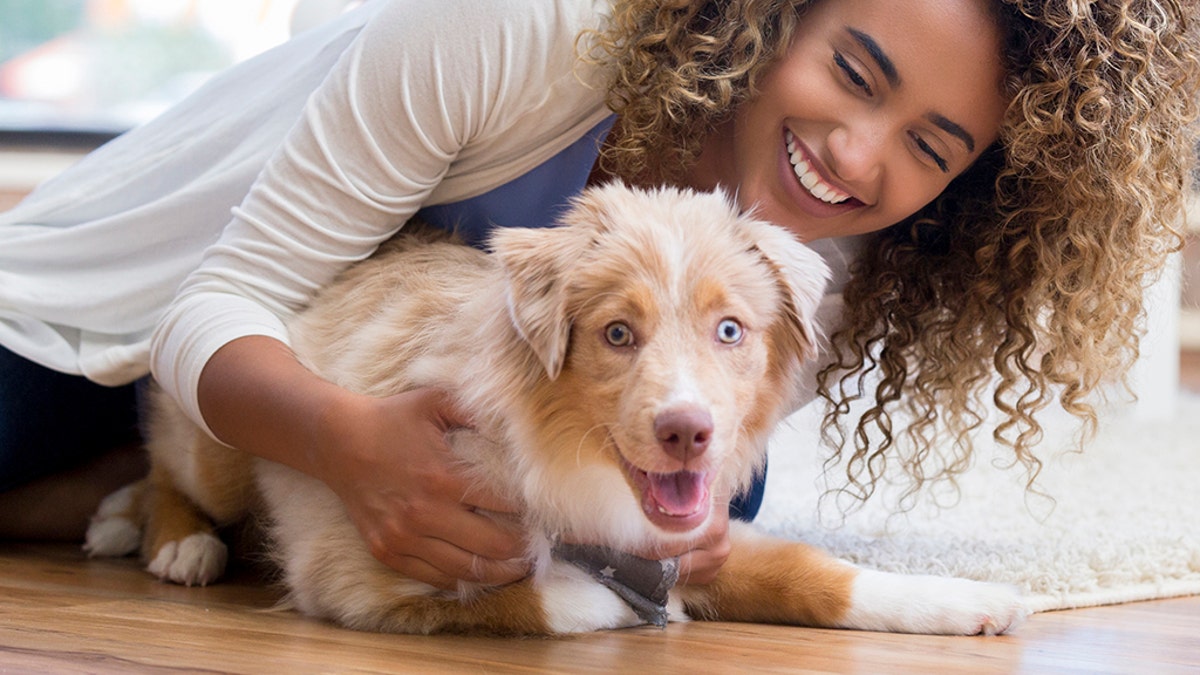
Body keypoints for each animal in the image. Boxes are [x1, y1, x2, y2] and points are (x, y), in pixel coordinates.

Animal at [84, 181, 1027, 634]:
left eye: (730, 328)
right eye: (617, 333)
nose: (688, 431)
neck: (567, 454)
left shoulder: (696, 534)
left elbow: (819, 572)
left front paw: (969, 601)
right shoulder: (355, 570)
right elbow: (542, 597)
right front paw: (622, 603)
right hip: (220, 438)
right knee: (166, 460)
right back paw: (164, 536)